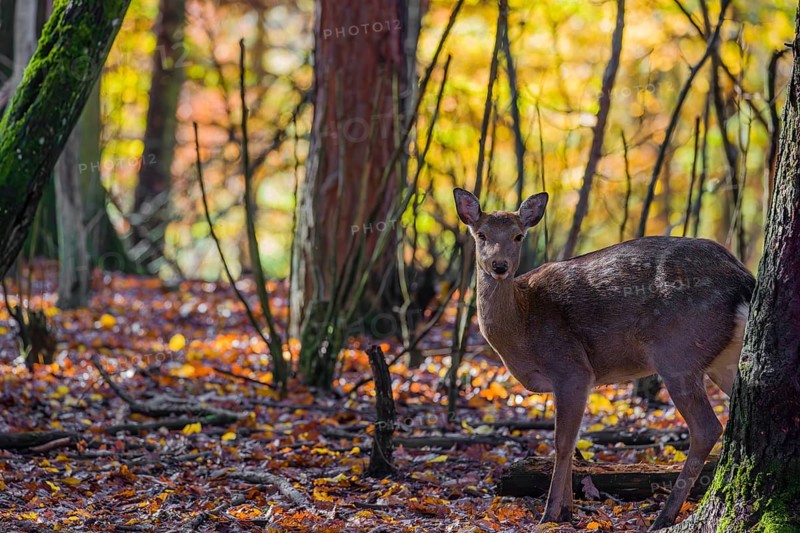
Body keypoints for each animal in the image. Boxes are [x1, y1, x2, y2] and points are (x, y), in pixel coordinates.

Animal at [453, 188, 755, 531]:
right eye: (481, 234)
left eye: (518, 235)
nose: (499, 266)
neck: (522, 325)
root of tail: (744, 279)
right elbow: (574, 443)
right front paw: (568, 511)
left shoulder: (571, 367)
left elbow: (562, 443)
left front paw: (550, 514)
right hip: (723, 359)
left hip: (677, 351)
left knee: (706, 427)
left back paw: (663, 517)